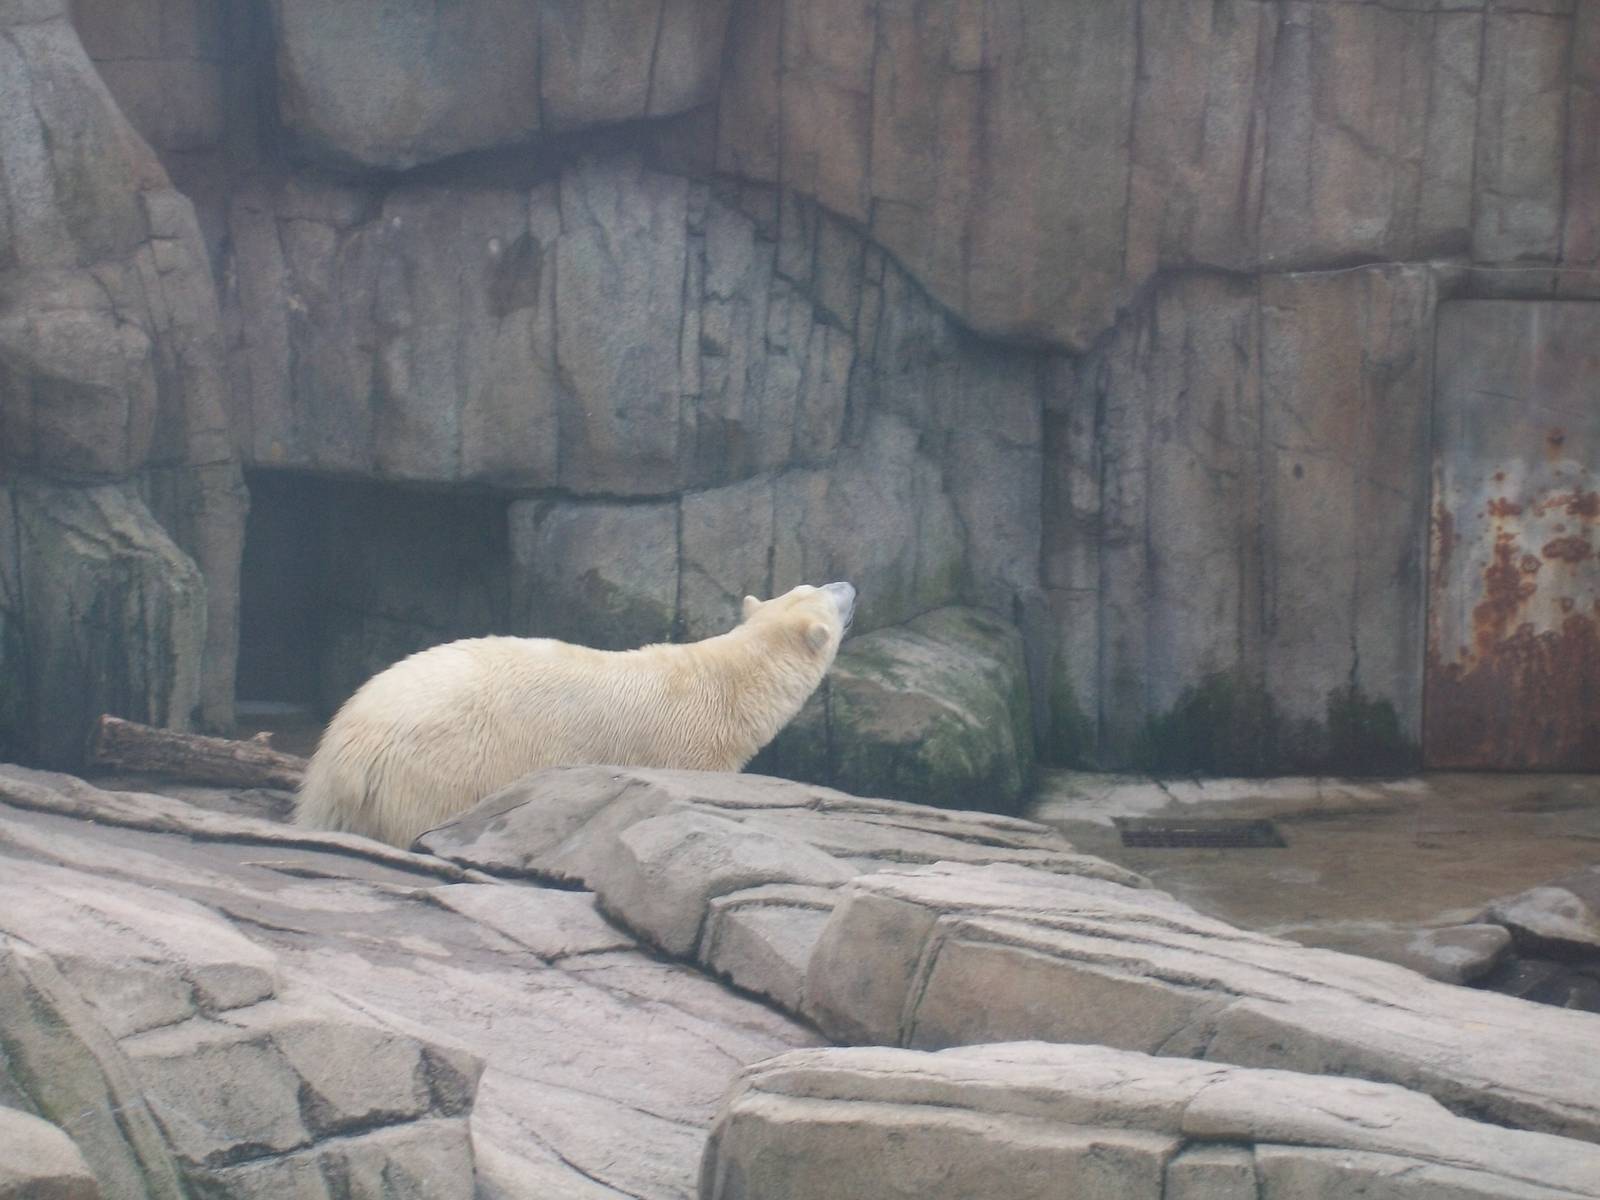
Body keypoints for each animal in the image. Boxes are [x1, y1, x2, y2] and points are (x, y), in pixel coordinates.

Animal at [294, 581, 856, 848]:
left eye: (810, 585)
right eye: (829, 598)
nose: (849, 584)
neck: (725, 684)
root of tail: (351, 744)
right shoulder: (689, 753)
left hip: (331, 788)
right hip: (438, 766)